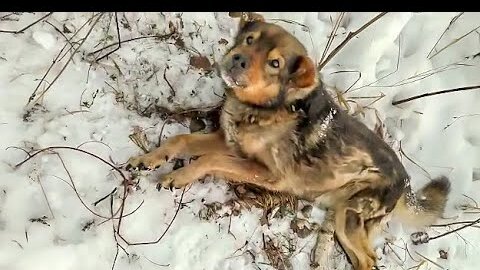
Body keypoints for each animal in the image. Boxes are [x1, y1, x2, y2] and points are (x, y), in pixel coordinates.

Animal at [126, 12, 450, 270]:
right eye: (249, 39)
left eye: (275, 63)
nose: (237, 59)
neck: (267, 109)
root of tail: (406, 182)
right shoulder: (228, 141)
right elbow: (180, 140)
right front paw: (148, 159)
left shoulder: (270, 174)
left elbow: (210, 159)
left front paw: (179, 175)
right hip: (342, 217)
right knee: (360, 254)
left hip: (352, 215)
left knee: (369, 259)